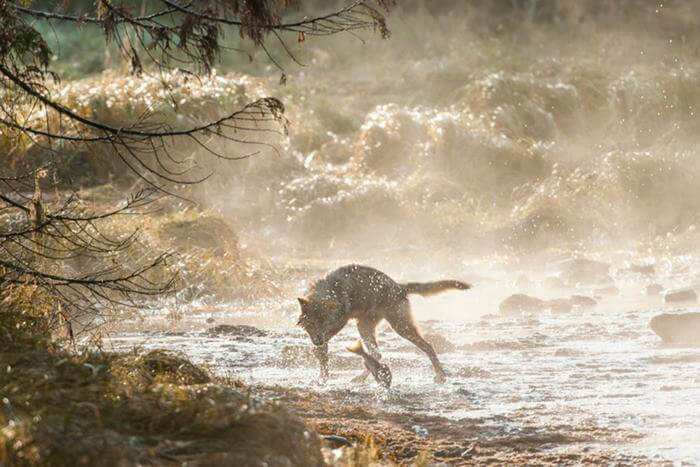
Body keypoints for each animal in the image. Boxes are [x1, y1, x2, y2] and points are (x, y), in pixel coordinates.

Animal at [296, 266, 470, 386]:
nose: (317, 341)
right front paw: (321, 374)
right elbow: (323, 357)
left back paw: (441, 375)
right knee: (376, 355)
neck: (330, 289)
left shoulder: (340, 322)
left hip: (400, 327)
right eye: (312, 324)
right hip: (365, 328)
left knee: (428, 345)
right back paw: (360, 378)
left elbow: (325, 345)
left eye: (325, 324)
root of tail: (399, 286)